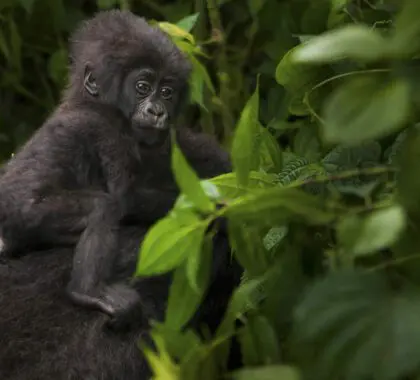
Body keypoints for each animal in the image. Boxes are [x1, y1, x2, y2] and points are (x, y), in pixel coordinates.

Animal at [0, 9, 231, 324]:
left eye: (167, 92)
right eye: (142, 88)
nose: (157, 111)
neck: (89, 100)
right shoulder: (109, 133)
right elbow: (125, 194)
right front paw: (216, 202)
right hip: (25, 214)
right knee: (104, 207)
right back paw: (87, 291)